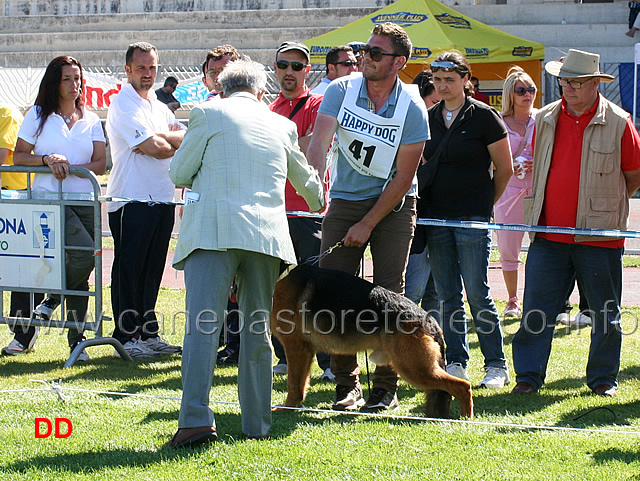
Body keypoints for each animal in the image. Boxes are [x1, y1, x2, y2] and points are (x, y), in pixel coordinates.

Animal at [270, 264, 476, 418]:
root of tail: (429, 320)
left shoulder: (295, 348)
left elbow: (293, 384)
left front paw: (286, 408)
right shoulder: (304, 352)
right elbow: (300, 385)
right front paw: (294, 406)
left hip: (414, 369)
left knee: (463, 386)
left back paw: (467, 419)